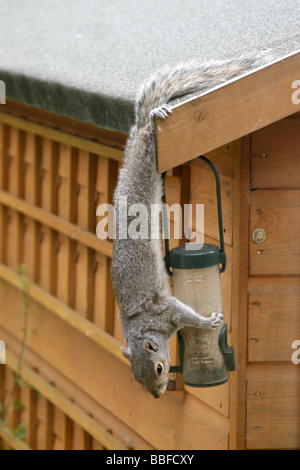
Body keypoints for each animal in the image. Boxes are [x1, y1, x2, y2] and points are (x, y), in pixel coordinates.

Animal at [111, 53, 270, 398]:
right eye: (136, 379)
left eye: (158, 369)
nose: (157, 395)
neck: (141, 328)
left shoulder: (166, 312)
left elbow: (187, 316)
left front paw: (208, 324)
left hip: (146, 163)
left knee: (148, 139)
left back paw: (155, 116)